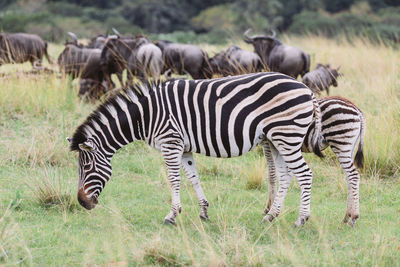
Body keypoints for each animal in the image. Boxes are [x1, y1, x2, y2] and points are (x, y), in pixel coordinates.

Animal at [68, 72, 322, 227]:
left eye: (86, 167)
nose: (82, 203)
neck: (146, 115)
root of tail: (306, 89)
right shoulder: (184, 148)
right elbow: (193, 177)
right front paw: (204, 212)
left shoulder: (170, 143)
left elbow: (174, 180)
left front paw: (172, 215)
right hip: (276, 139)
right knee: (286, 175)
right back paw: (271, 216)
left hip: (287, 135)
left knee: (305, 174)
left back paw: (301, 219)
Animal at [264, 97, 364, 227]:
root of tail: (357, 109)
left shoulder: (266, 141)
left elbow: (271, 173)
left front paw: (269, 207)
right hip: (349, 147)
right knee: (349, 177)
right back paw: (347, 216)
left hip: (340, 143)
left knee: (354, 175)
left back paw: (353, 217)